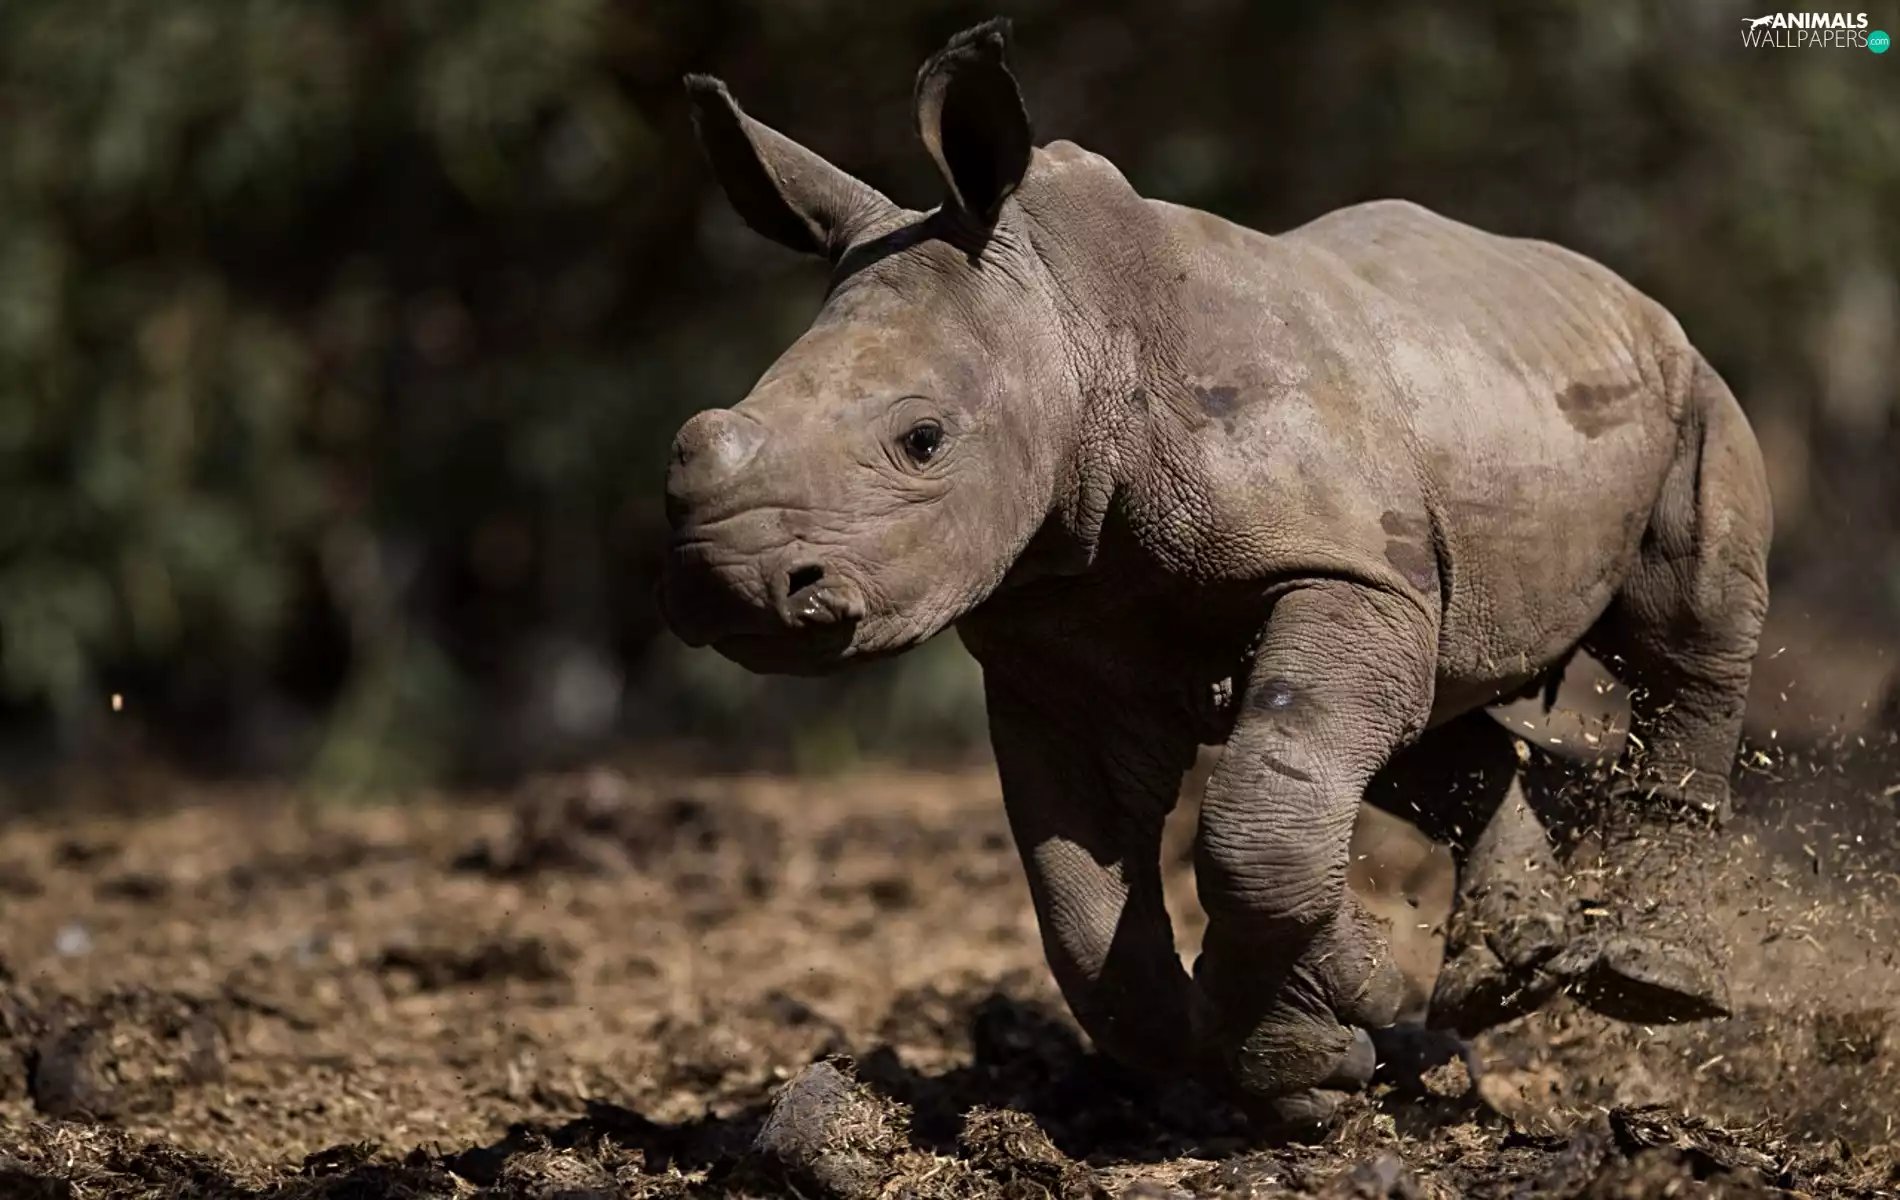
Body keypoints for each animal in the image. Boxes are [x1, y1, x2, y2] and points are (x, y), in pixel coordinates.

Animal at [659, 20, 1773, 1133]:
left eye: (921, 440)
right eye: (693, 440)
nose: (735, 584)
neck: (1073, 332)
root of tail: (1617, 288)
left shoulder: (1335, 567)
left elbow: (1251, 831)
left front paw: (1342, 1014)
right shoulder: (1049, 643)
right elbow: (1081, 902)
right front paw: (1312, 1058)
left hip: (1683, 383)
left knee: (1682, 637)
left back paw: (1655, 981)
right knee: (1423, 725)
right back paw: (1505, 976)